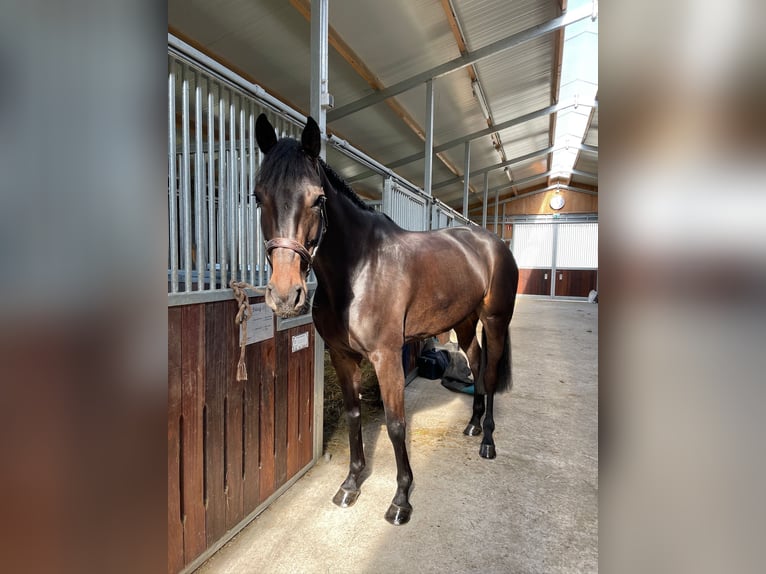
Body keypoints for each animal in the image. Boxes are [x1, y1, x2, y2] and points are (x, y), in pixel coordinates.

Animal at [253, 114, 519, 525]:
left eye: (318, 199)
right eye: (257, 196)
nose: (285, 295)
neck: (360, 269)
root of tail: (494, 244)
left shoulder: (387, 357)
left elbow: (396, 426)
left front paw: (401, 501)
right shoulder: (342, 356)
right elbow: (353, 415)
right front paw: (350, 484)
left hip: (494, 321)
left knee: (489, 376)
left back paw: (488, 441)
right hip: (463, 322)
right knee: (475, 364)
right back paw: (472, 426)